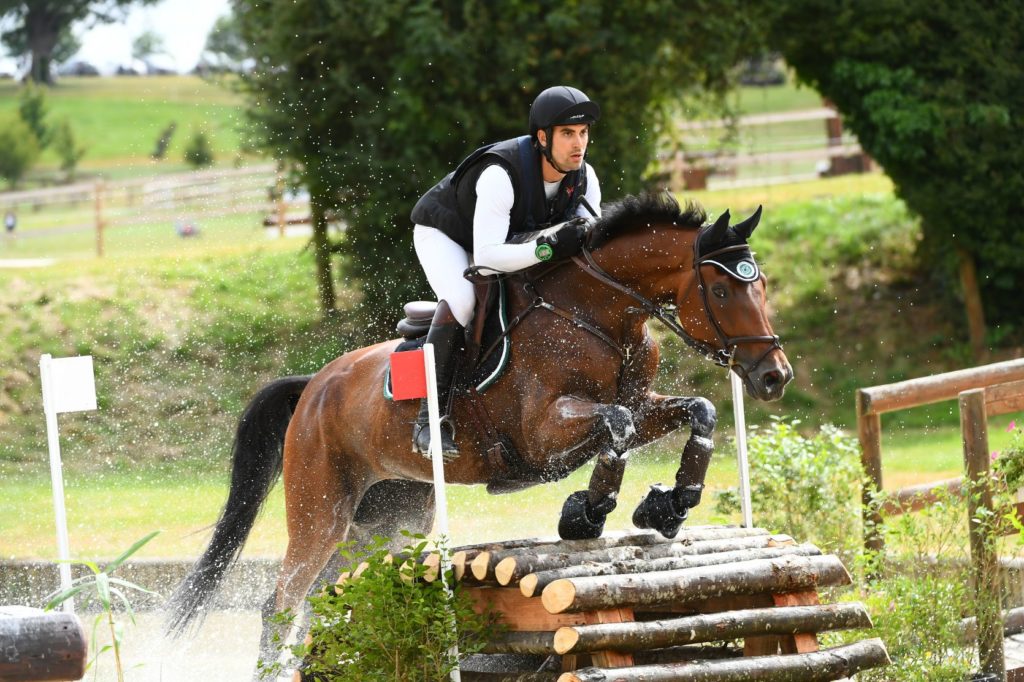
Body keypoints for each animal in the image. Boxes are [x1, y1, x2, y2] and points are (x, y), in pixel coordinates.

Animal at [165, 189, 790, 663]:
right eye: (720, 289)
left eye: (760, 285)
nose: (773, 377)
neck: (598, 314)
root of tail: (314, 387)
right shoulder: (544, 434)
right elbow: (613, 425)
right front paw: (587, 513)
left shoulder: (643, 404)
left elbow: (698, 410)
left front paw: (669, 504)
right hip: (320, 509)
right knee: (281, 603)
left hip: (388, 516)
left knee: (332, 592)